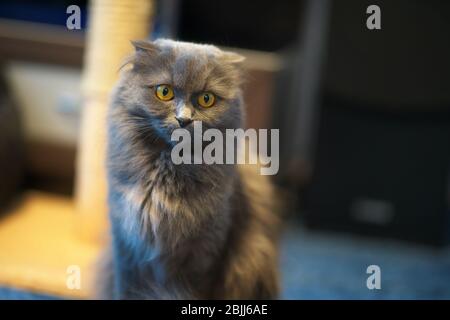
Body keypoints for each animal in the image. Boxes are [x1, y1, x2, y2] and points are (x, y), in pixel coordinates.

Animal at [98, 38, 280, 298]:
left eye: (206, 99)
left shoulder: (206, 254)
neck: (167, 171)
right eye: (164, 92)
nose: (183, 120)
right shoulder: (125, 245)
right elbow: (125, 289)